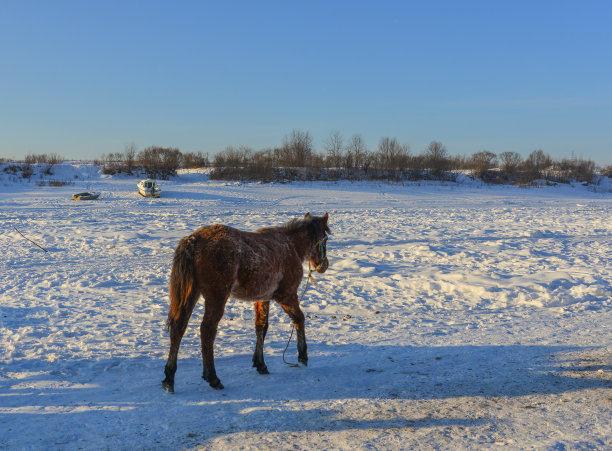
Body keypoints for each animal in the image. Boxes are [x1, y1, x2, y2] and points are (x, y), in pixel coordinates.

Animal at [160, 213, 328, 392]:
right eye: (325, 239)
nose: (324, 265)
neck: (291, 246)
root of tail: (194, 238)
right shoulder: (286, 295)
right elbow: (299, 319)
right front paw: (302, 356)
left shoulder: (263, 298)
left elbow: (261, 327)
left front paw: (260, 363)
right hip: (216, 298)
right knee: (207, 330)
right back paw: (212, 377)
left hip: (191, 294)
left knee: (178, 328)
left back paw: (169, 377)